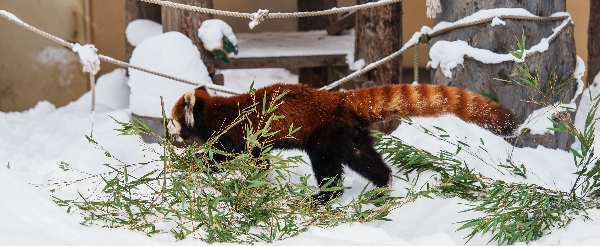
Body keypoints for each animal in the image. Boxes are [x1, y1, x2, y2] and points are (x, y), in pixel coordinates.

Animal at [168, 82, 520, 204]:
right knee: (366, 159)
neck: (215, 111)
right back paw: (382, 186)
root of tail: (340, 99)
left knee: (327, 169)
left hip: (324, 137)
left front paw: (191, 165)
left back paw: (322, 197)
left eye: (170, 121)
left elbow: (233, 158)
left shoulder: (238, 134)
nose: (170, 136)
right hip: (351, 135)